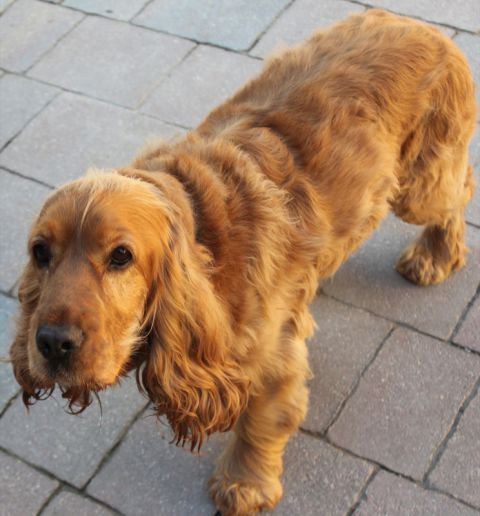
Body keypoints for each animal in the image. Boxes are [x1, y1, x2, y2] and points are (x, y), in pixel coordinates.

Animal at [10, 9, 476, 515]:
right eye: (40, 252)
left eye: (121, 256)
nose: (53, 343)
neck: (202, 236)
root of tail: (416, 22)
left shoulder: (273, 357)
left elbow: (260, 422)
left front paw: (242, 485)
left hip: (419, 188)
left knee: (460, 188)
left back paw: (433, 257)